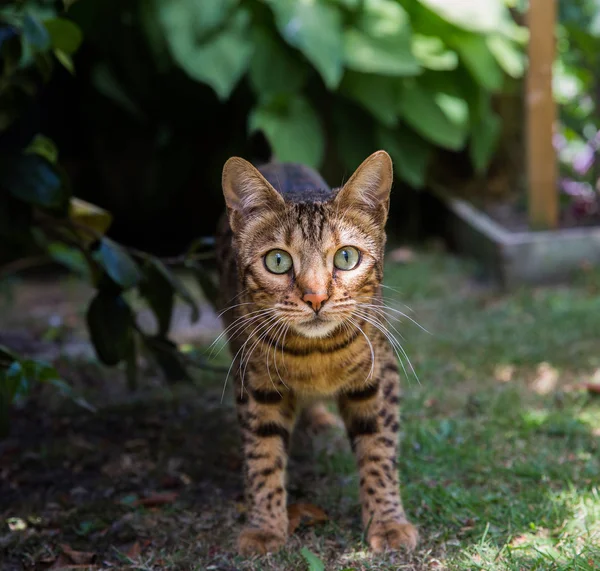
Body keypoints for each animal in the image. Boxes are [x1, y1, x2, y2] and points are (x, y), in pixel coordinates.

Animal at [216, 150, 418, 556]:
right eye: (277, 261)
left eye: (346, 257)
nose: (315, 297)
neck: (316, 355)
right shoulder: (255, 381)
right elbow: (262, 455)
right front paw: (264, 527)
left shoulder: (379, 375)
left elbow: (379, 451)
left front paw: (388, 522)